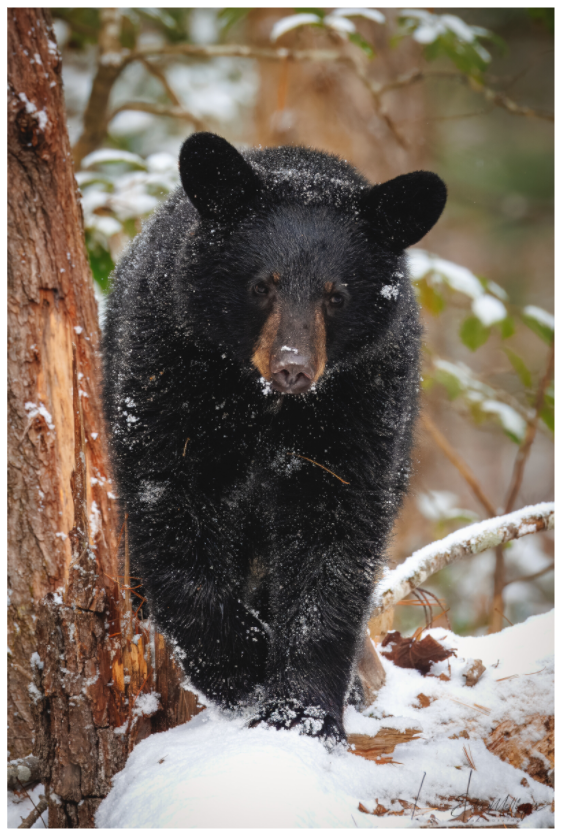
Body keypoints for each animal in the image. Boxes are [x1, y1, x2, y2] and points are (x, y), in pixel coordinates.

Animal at [103, 132, 446, 745]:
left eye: (337, 295)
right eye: (262, 285)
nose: (293, 368)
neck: (265, 405)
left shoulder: (364, 399)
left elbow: (334, 540)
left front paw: (301, 714)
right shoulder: (168, 371)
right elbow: (170, 505)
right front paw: (242, 669)